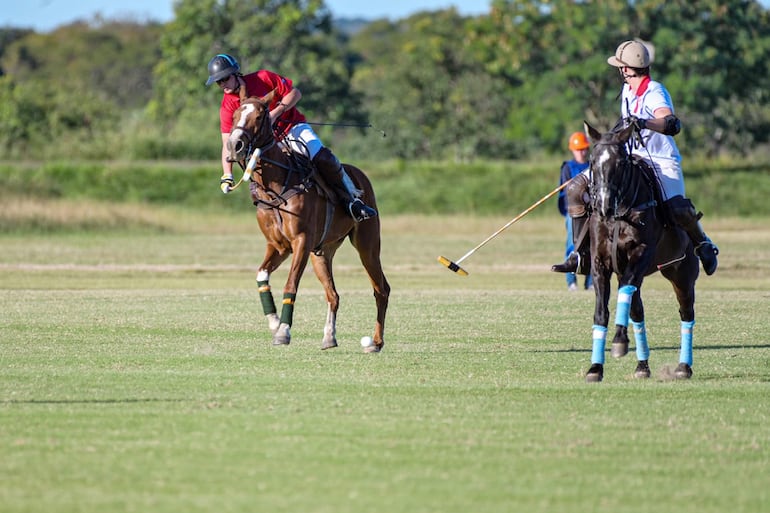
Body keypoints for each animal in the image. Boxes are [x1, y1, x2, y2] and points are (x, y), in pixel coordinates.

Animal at [225, 88, 388, 352]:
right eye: (235, 115)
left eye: (259, 117)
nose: (234, 145)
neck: (276, 185)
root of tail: (360, 174)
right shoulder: (278, 246)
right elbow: (261, 275)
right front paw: (274, 322)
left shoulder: (300, 241)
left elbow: (290, 285)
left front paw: (283, 331)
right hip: (321, 253)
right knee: (333, 294)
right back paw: (329, 337)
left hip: (368, 244)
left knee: (381, 289)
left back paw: (375, 342)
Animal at [584, 121, 700, 380]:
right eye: (592, 161)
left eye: (620, 163)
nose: (604, 206)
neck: (620, 214)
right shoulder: (600, 263)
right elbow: (601, 312)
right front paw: (595, 368)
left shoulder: (641, 253)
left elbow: (624, 294)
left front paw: (619, 341)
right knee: (637, 310)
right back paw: (642, 366)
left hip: (682, 275)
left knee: (686, 312)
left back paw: (683, 367)